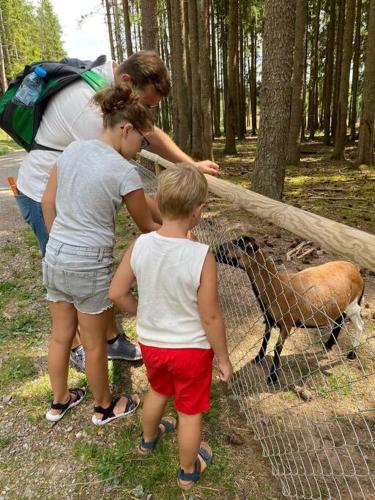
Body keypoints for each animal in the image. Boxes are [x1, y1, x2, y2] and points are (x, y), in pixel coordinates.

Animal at [216, 236, 366, 384]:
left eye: (240, 244)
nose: (217, 249)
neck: (276, 285)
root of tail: (356, 271)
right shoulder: (269, 319)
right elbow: (265, 339)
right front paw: (258, 358)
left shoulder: (287, 323)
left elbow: (277, 348)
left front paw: (272, 377)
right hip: (341, 305)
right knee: (339, 320)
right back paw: (328, 344)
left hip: (353, 303)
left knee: (359, 324)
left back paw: (352, 353)